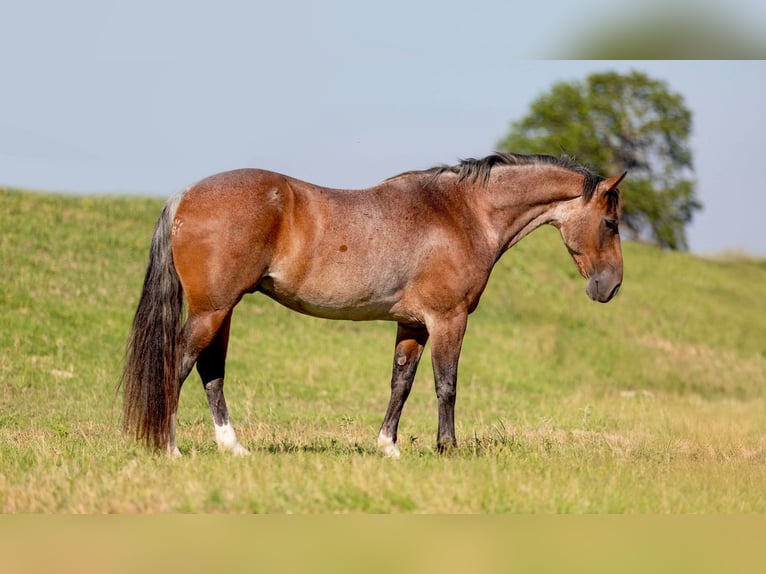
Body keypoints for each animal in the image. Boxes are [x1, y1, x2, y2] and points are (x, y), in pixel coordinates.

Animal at [120, 152, 625, 457]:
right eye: (611, 223)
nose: (612, 287)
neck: (461, 214)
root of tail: (185, 196)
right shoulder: (449, 320)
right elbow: (446, 385)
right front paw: (448, 448)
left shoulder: (413, 325)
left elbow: (401, 383)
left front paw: (388, 446)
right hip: (212, 310)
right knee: (178, 364)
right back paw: (169, 447)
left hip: (222, 310)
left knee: (211, 372)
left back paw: (233, 447)